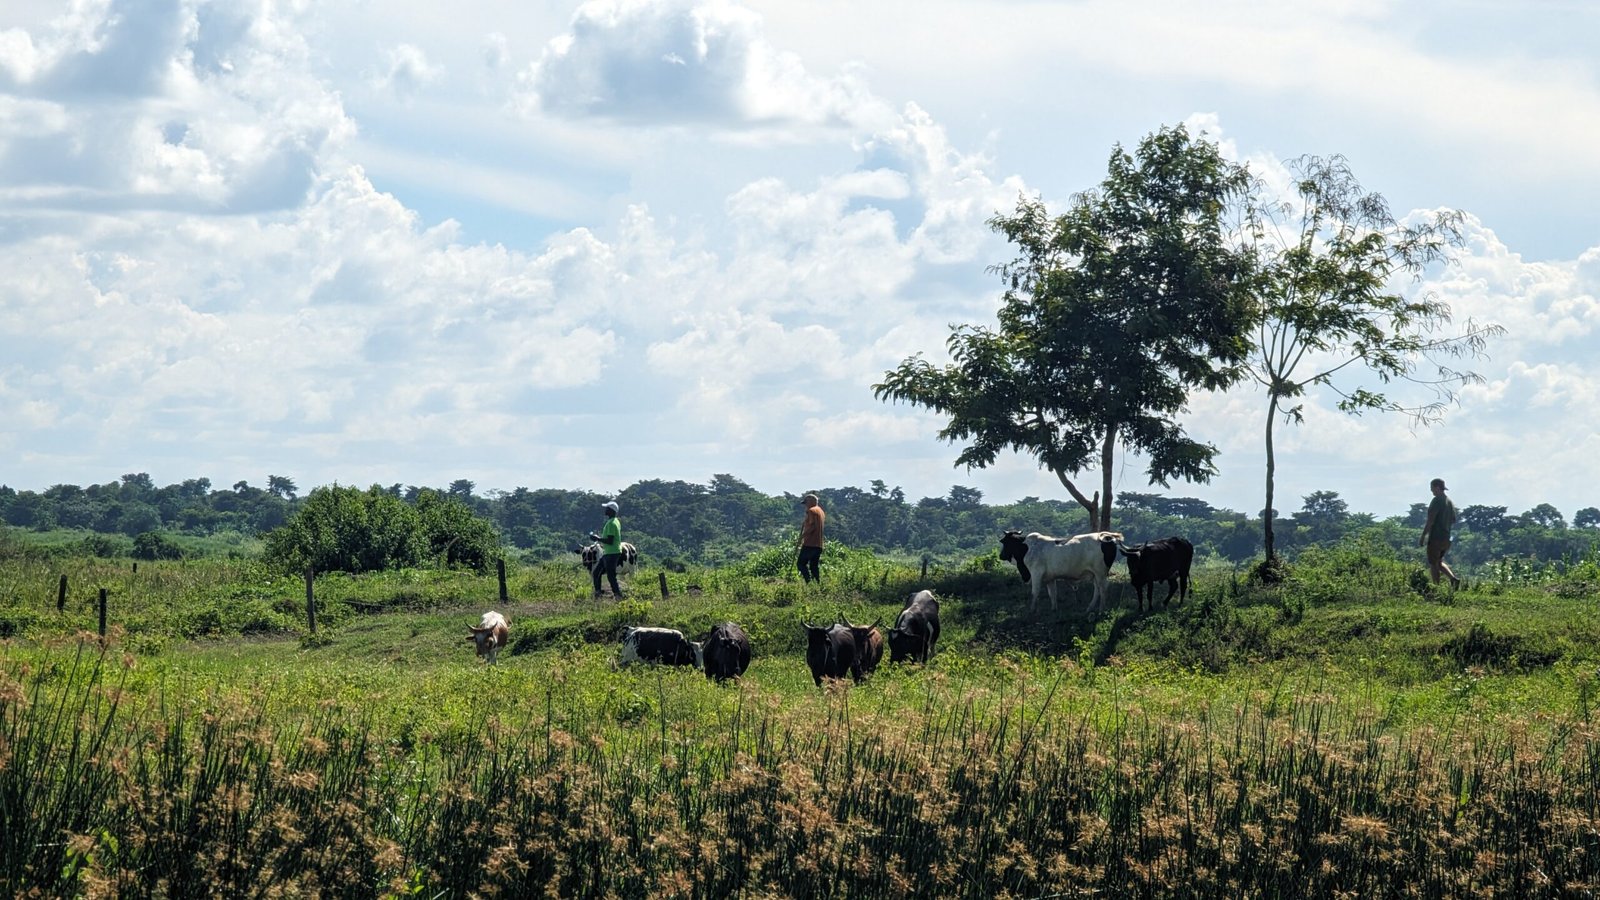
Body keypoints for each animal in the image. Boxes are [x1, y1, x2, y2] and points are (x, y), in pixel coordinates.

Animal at [992, 528, 1120, 611]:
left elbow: (1035, 592)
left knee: (1103, 589)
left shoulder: (1036, 573)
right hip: (1095, 574)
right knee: (1097, 590)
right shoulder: (1050, 578)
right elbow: (1052, 594)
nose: (1001, 555)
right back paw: (1089, 608)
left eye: (1003, 541)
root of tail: (1107, 538)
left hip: (1100, 573)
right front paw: (1054, 609)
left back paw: (1100, 610)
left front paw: (1032, 610)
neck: (1027, 547)